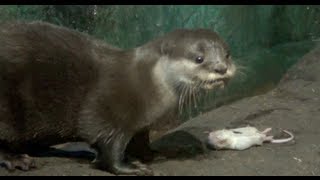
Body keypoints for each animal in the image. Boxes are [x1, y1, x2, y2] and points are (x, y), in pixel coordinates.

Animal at [0, 20, 236, 175]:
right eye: (199, 58)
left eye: (227, 54)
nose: (221, 69)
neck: (148, 84)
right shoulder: (108, 113)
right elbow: (108, 147)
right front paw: (130, 167)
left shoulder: (140, 124)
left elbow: (141, 143)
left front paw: (157, 153)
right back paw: (17, 160)